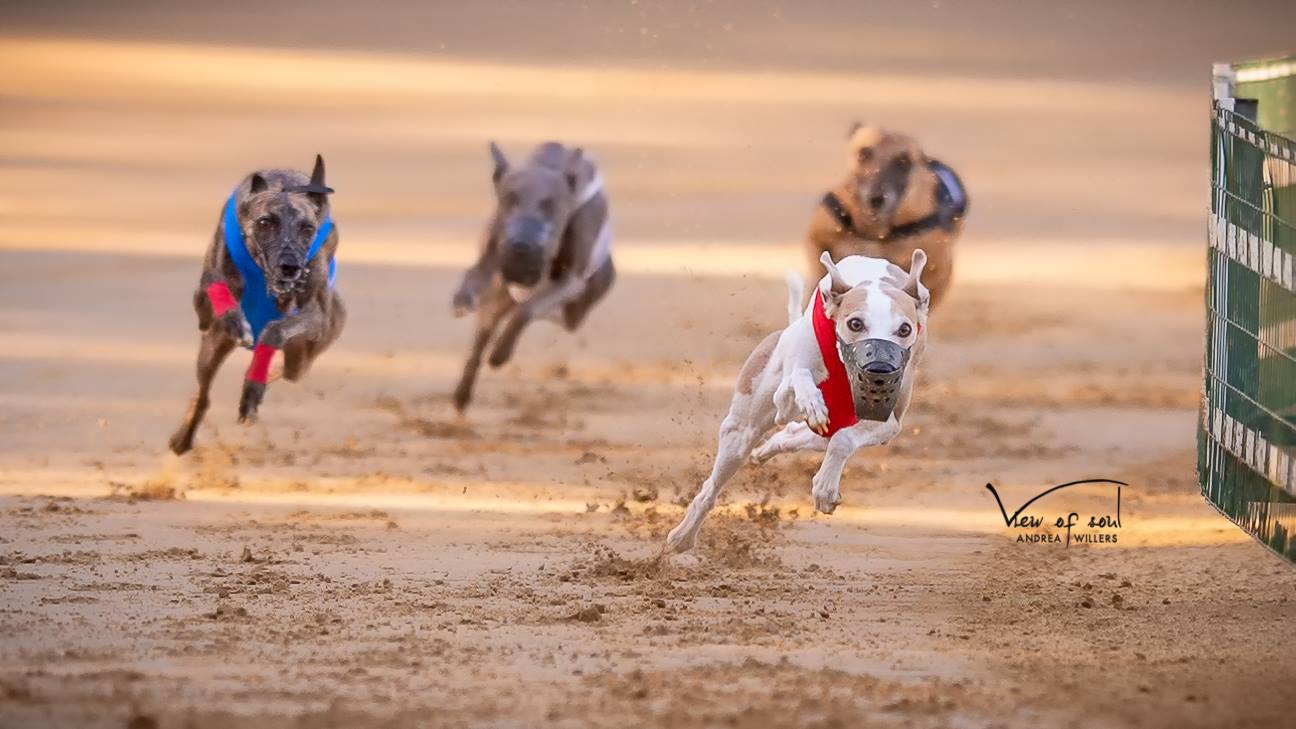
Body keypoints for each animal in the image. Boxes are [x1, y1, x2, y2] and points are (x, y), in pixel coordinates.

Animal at [451, 139, 616, 412]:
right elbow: (474, 273)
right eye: (510, 198)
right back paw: (462, 394)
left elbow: (526, 311)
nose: (521, 246)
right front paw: (462, 300)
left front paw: (500, 354)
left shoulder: (571, 281)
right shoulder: (492, 258)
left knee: (552, 313)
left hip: (579, 305)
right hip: (499, 298)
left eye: (550, 204)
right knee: (482, 335)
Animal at [668, 246, 933, 547]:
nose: (880, 370)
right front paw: (812, 402)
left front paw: (825, 488)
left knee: (807, 436)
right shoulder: (785, 395)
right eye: (855, 323)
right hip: (740, 430)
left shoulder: (888, 423)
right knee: (712, 487)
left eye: (905, 329)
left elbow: (842, 441)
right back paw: (682, 536)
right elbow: (798, 380)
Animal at [803, 124, 969, 306]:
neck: (874, 230)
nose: (876, 199)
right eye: (863, 153)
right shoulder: (817, 238)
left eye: (903, 161)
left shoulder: (941, 271)